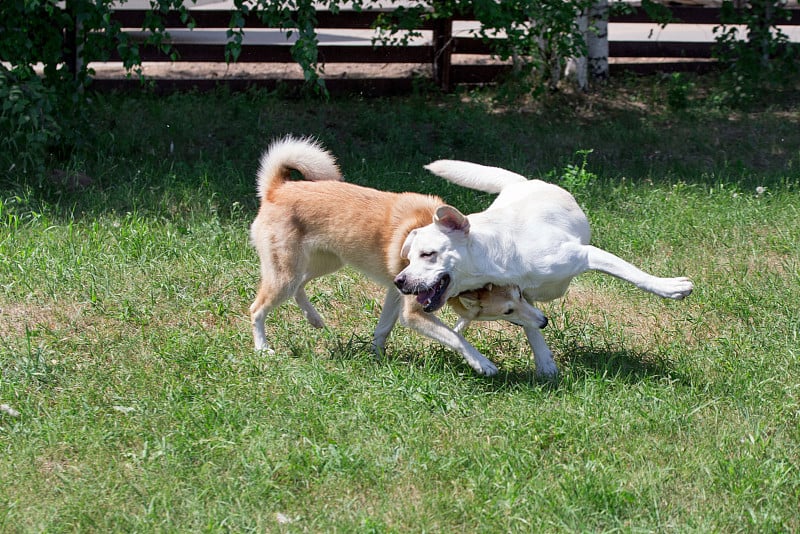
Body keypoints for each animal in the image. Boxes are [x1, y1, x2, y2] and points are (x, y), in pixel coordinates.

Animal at [252, 138, 544, 376]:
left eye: (521, 295)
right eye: (507, 310)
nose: (544, 321)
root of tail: (277, 189)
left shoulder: (397, 290)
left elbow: (383, 328)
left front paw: (377, 357)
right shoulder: (413, 311)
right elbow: (455, 337)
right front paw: (482, 363)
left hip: (325, 262)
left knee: (299, 287)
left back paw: (313, 318)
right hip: (286, 273)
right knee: (258, 309)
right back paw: (262, 348)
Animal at [394, 161, 692, 378]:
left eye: (428, 254)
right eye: (409, 257)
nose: (400, 281)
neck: (498, 255)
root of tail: (521, 183)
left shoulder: (585, 254)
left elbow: (634, 274)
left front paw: (670, 287)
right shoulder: (522, 295)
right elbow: (531, 326)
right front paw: (545, 361)